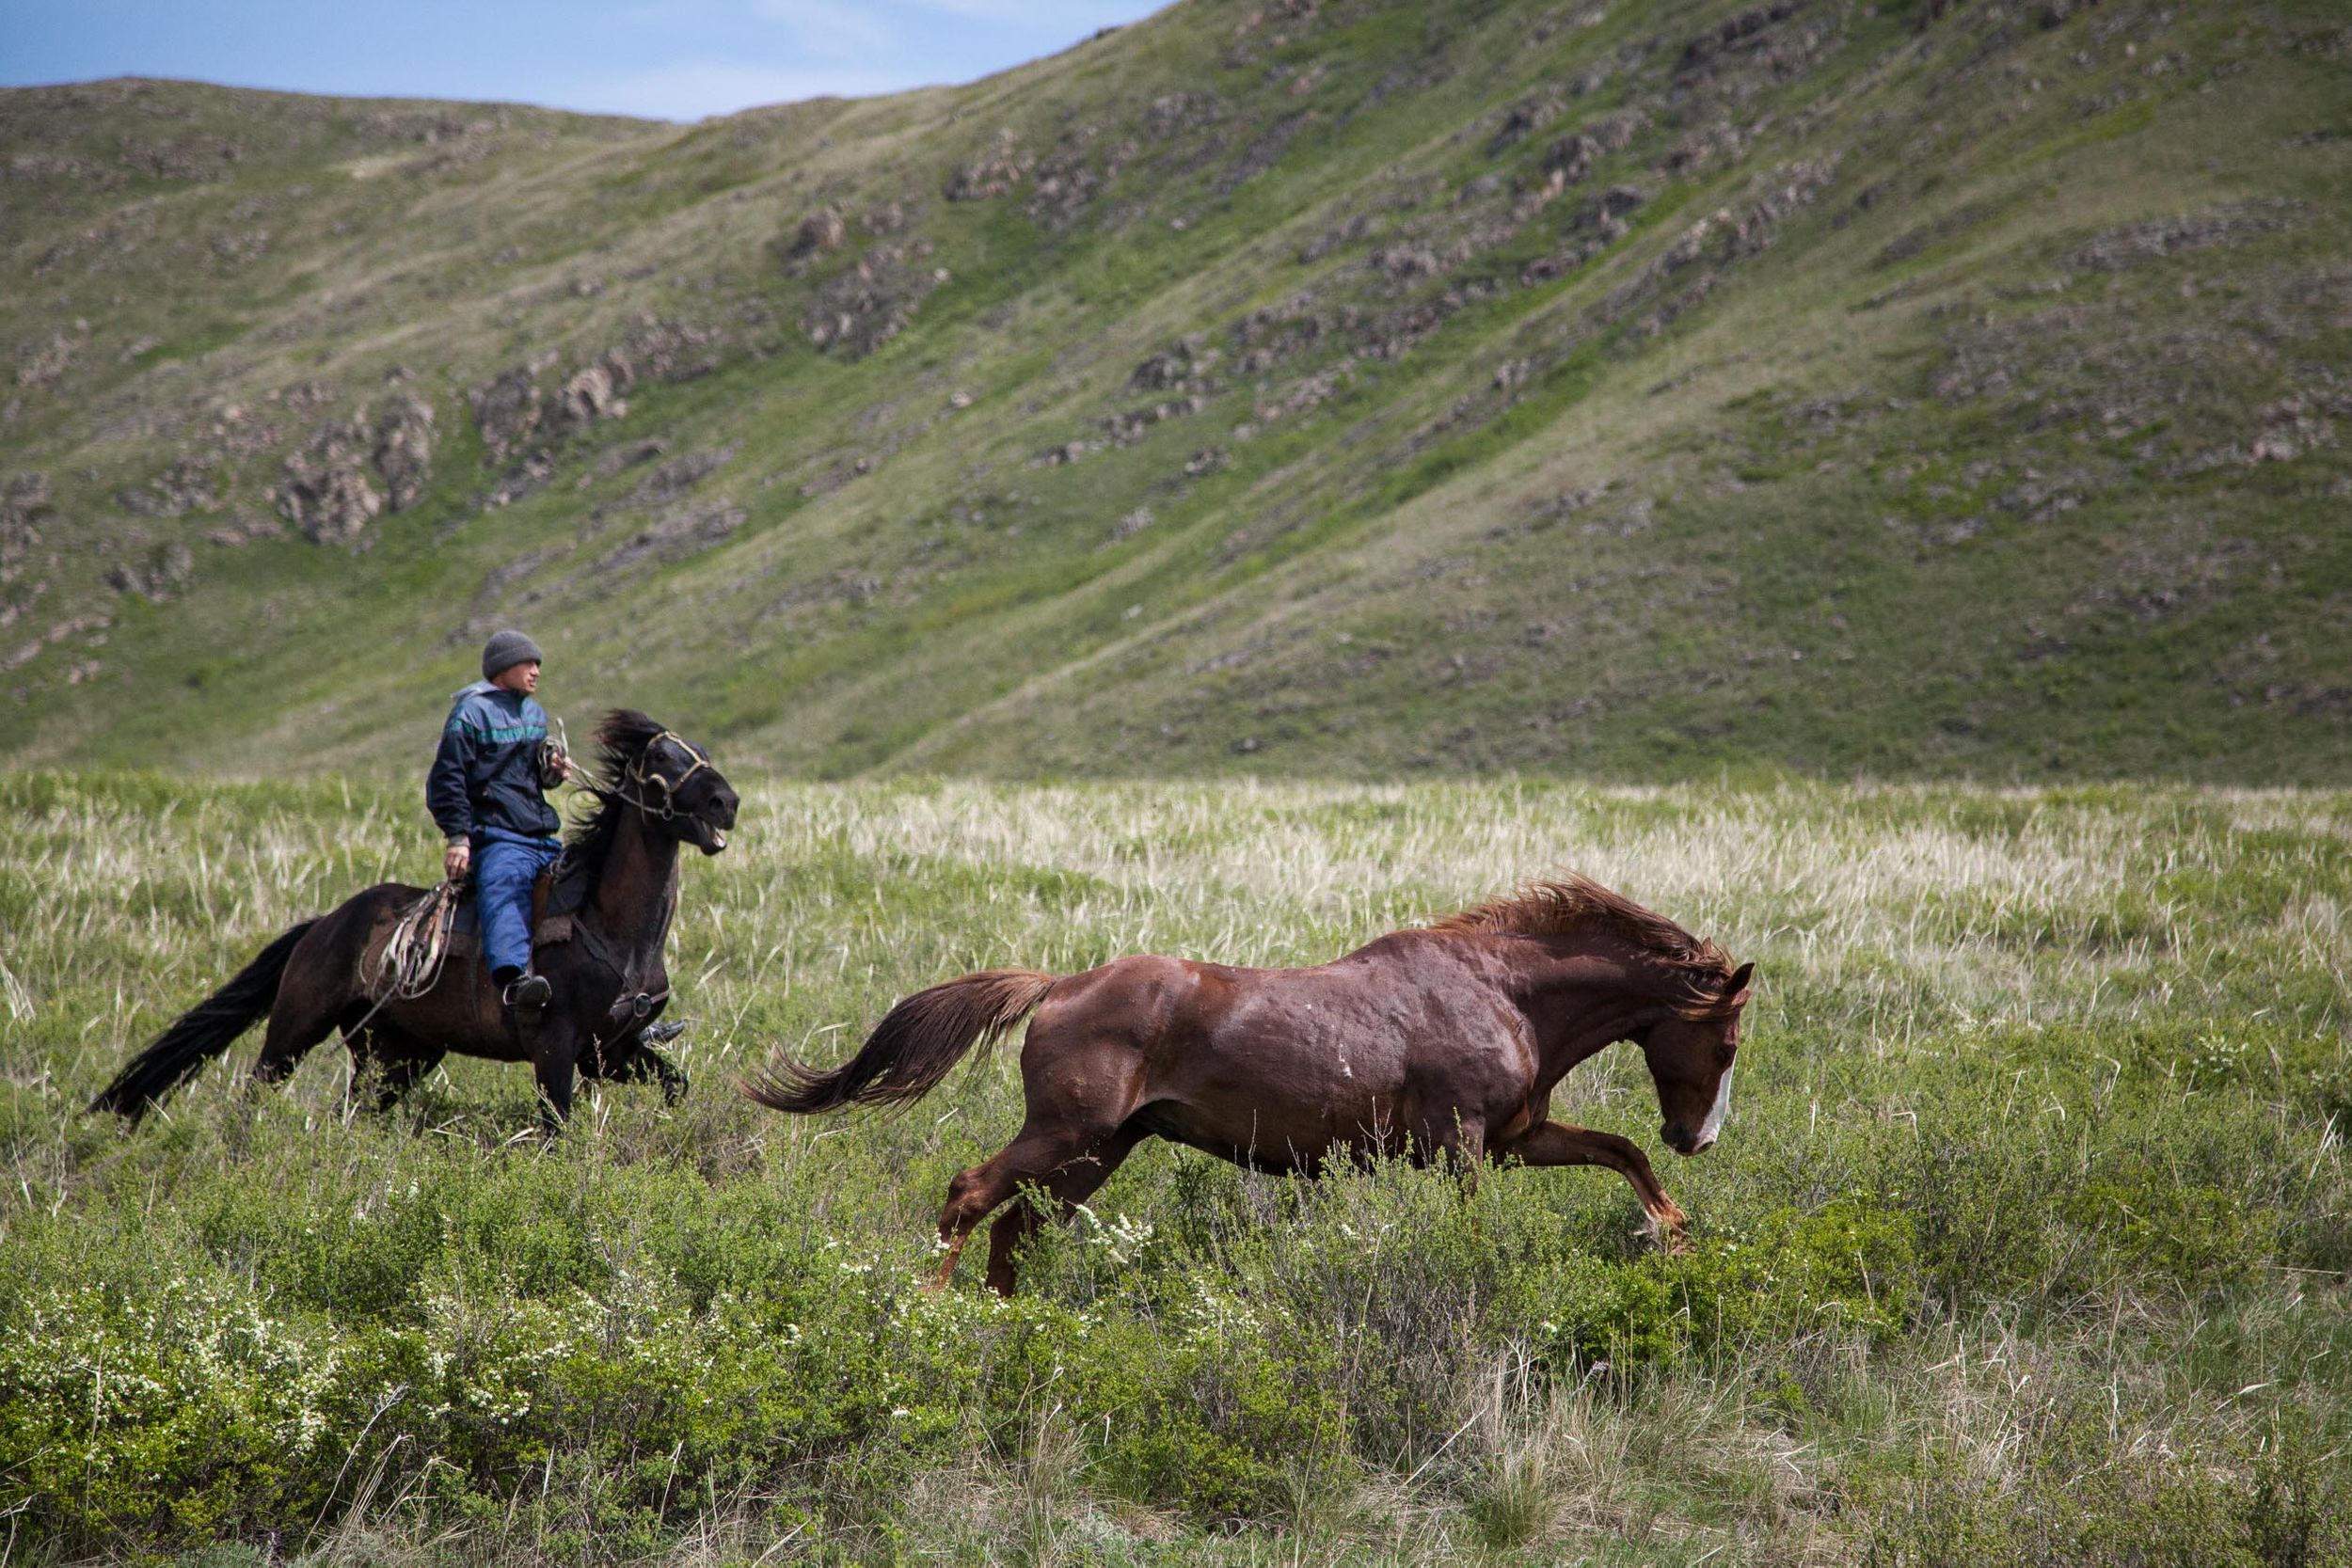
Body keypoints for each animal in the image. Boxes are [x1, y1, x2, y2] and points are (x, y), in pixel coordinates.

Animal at [89, 710, 739, 1129]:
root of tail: (325, 924)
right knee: (257, 1089)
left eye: (703, 753)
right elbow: (558, 1130)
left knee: (353, 1110)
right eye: (662, 757)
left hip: (399, 1055)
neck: (609, 927)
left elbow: (675, 1087)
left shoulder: (614, 1051)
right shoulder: (555, 1049)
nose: (726, 802)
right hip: (296, 1027)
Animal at [741, 873, 1754, 1294]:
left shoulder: (1514, 1141)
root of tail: (1058, 985)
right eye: (1729, 1040)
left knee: (1017, 1225)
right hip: (1067, 1134)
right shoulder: (1463, 1147)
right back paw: (931, 1310)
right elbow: (1476, 1231)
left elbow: (1619, 1150)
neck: (1501, 991)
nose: (1698, 1137)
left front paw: (1673, 1235)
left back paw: (1007, 1319)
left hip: (1097, 1152)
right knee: (968, 1194)